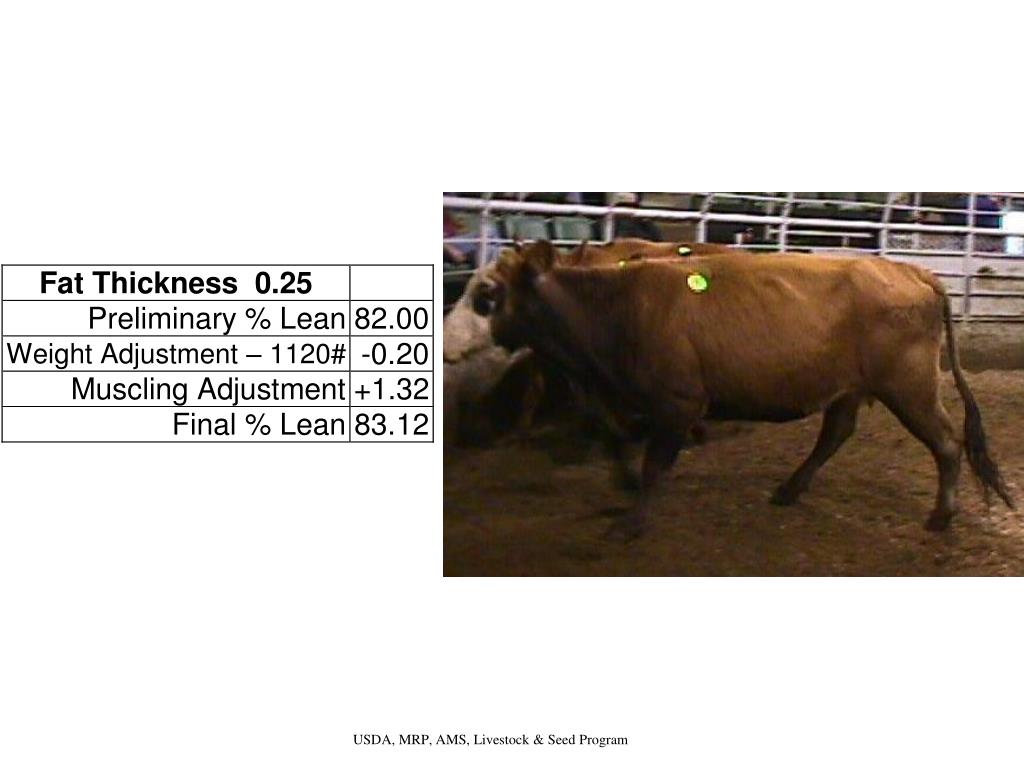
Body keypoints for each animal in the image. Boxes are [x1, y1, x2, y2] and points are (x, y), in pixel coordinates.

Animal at [470, 240, 1014, 538]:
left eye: (491, 293)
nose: (484, 332)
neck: (618, 304)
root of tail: (910, 270)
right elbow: (618, 437)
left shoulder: (677, 401)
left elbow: (653, 465)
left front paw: (631, 522)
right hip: (852, 386)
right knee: (836, 433)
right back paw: (789, 489)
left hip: (909, 386)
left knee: (946, 443)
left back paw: (940, 516)